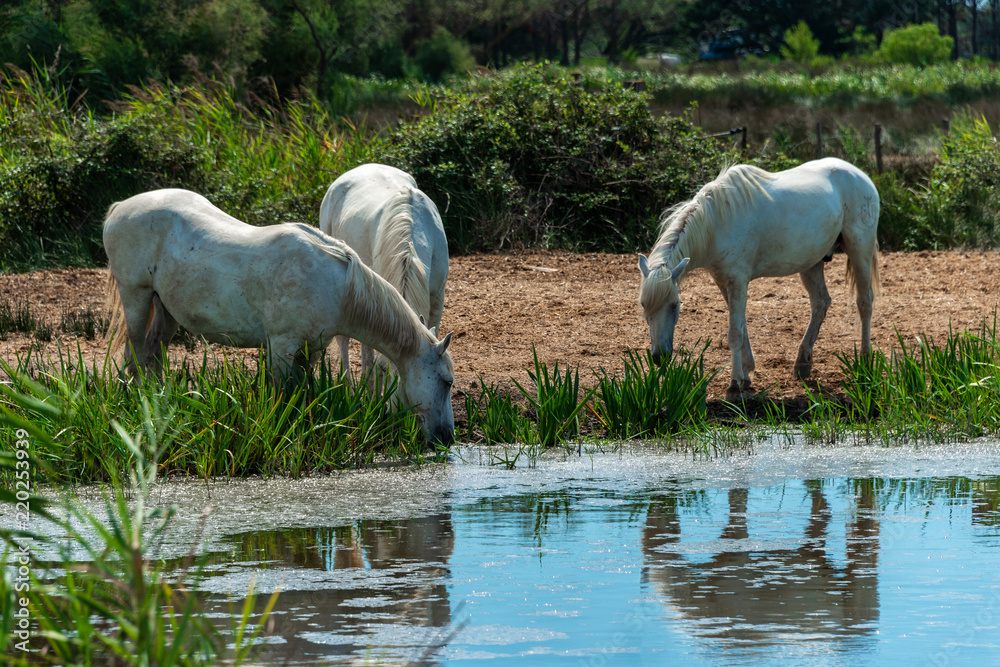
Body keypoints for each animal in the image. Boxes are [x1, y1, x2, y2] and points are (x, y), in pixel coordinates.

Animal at [102, 189, 455, 445]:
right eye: (447, 381)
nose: (446, 439)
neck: (337, 285)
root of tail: (120, 207)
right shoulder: (282, 347)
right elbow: (282, 396)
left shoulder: (311, 349)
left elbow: (302, 392)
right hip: (136, 296)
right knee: (135, 352)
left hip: (165, 309)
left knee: (153, 352)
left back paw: (158, 399)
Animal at [638, 157, 881, 399]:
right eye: (643, 305)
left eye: (674, 305)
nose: (659, 357)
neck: (716, 223)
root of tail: (860, 175)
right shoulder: (724, 282)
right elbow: (742, 326)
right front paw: (746, 374)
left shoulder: (737, 281)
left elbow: (735, 333)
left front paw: (734, 385)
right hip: (812, 263)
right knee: (821, 303)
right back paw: (802, 363)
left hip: (860, 249)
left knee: (864, 302)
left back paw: (865, 362)